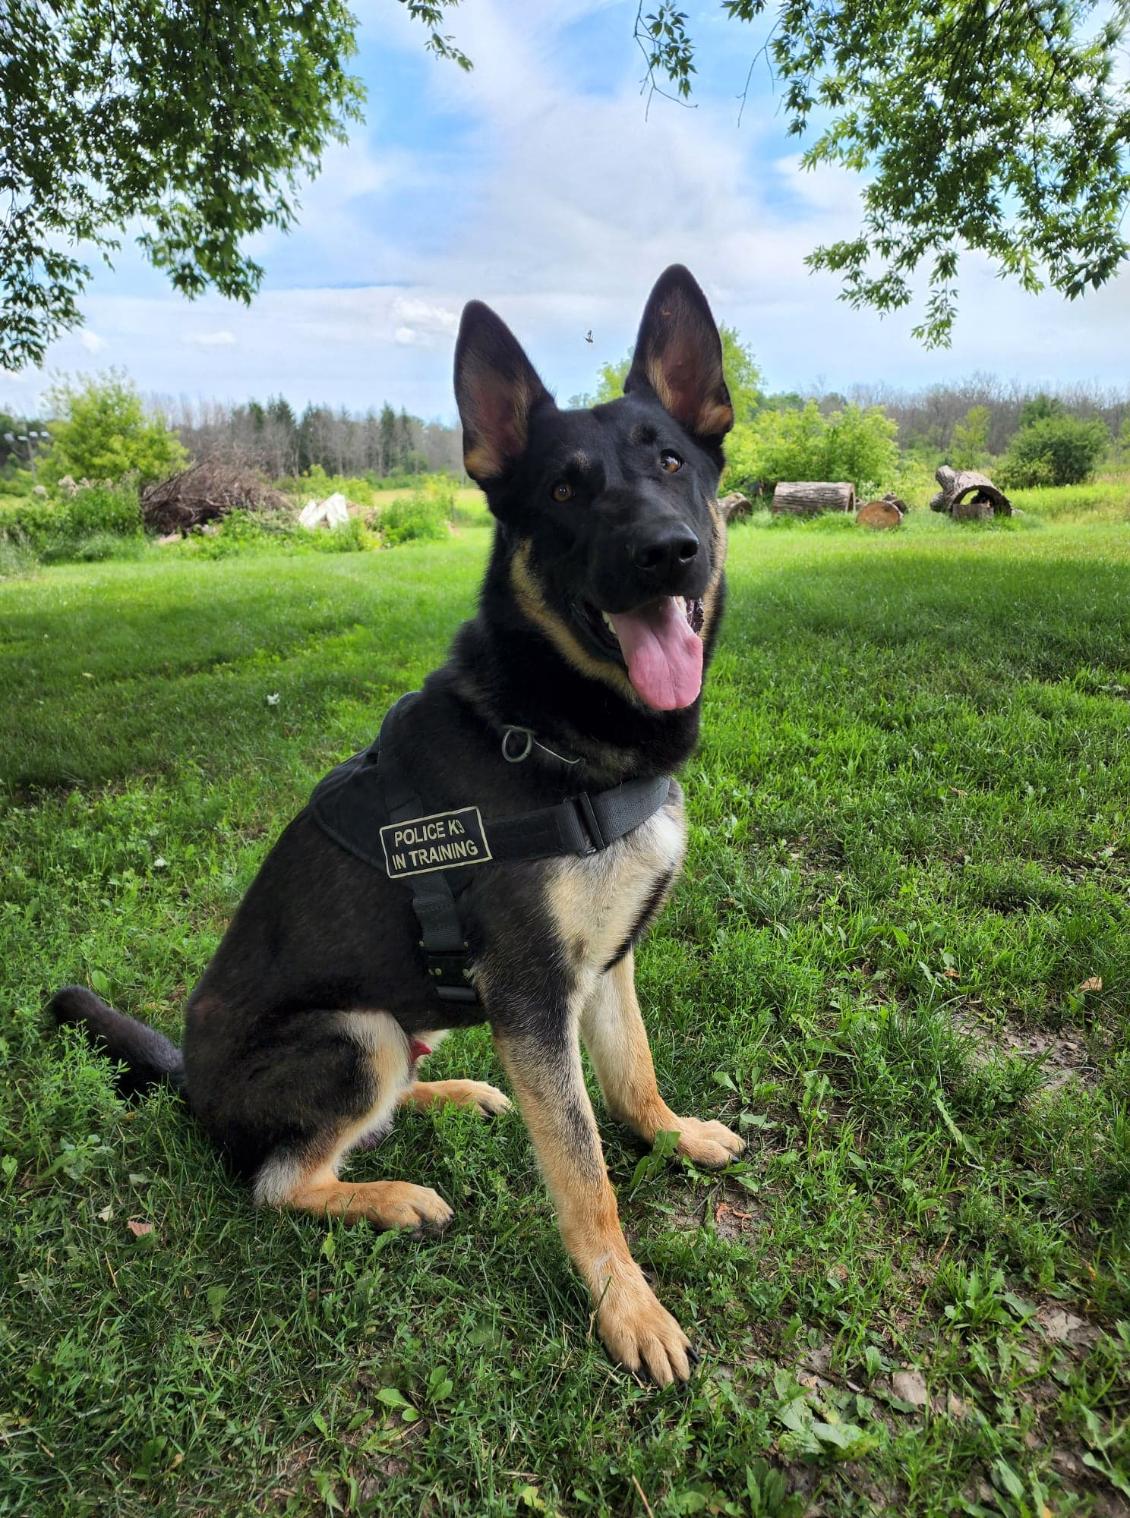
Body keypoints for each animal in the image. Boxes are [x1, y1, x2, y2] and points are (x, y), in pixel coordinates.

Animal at [50, 264, 741, 1390]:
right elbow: (583, 1168)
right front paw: (626, 1308)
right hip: (352, 1032)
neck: (549, 727)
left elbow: (629, 1079)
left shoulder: (600, 972)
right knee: (281, 1179)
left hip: (401, 1022)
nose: (667, 554)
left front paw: (672, 1137)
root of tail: (191, 1086)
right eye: (563, 492)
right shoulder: (534, 996)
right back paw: (389, 1196)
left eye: (672, 462)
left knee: (376, 1108)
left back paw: (451, 1093)